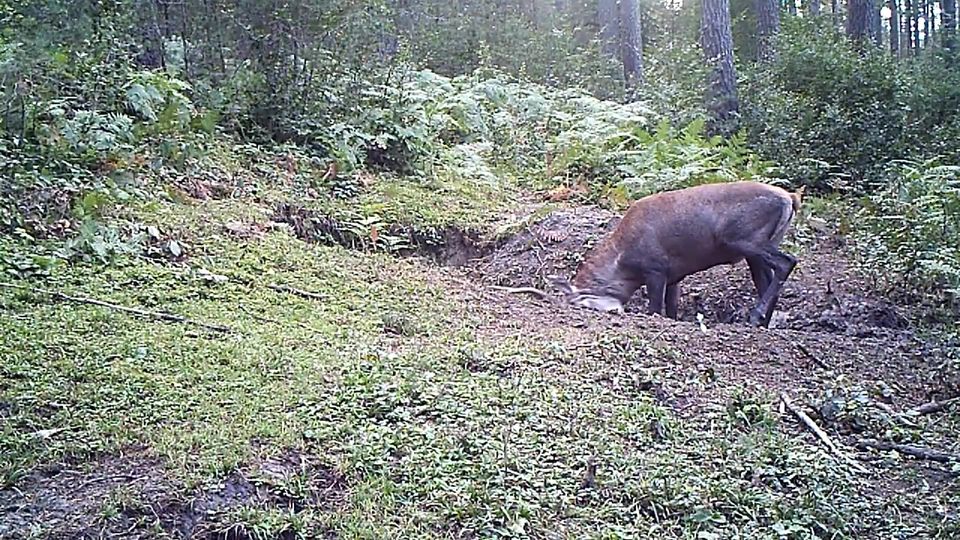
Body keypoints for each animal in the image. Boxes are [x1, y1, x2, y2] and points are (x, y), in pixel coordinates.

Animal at [548, 181, 804, 326]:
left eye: (581, 301)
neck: (623, 263)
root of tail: (790, 199)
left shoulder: (656, 269)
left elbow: (655, 310)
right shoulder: (675, 276)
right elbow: (672, 311)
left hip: (746, 240)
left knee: (787, 261)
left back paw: (755, 315)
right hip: (759, 248)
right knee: (769, 281)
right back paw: (761, 322)